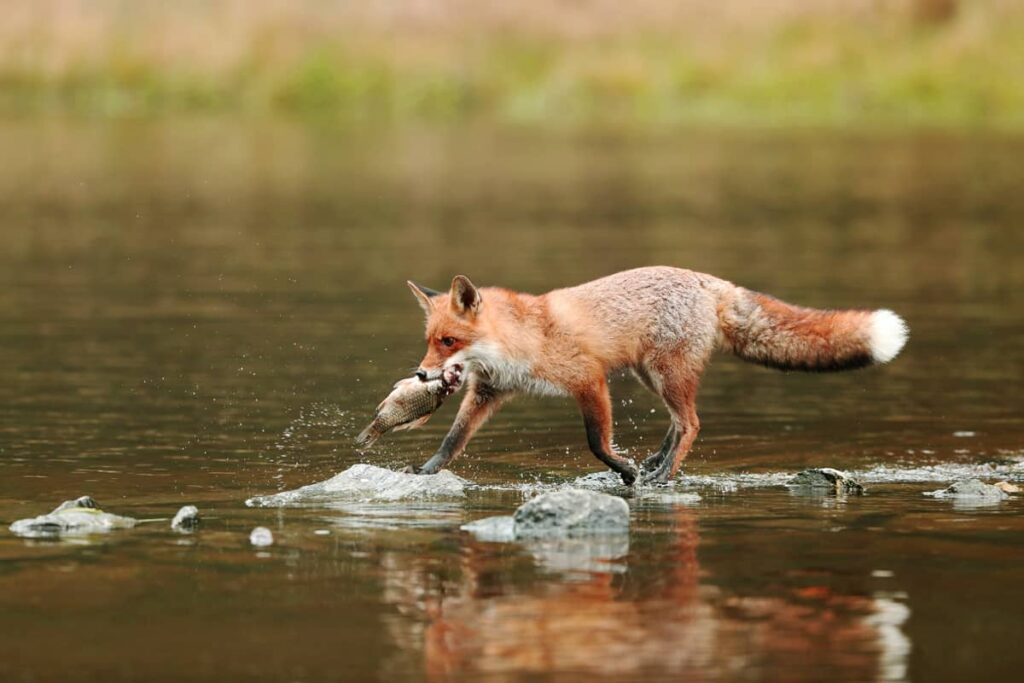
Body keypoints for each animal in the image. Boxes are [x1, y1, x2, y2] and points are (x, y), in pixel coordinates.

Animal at [403, 266, 908, 486]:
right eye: (430, 340)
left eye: (448, 341)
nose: (422, 373)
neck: (522, 338)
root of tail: (710, 281)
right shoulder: (488, 392)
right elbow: (452, 440)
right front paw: (426, 470)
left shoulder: (589, 379)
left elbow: (596, 443)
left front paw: (625, 471)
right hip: (653, 376)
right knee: (678, 422)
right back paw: (656, 462)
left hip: (666, 374)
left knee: (692, 424)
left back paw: (662, 474)